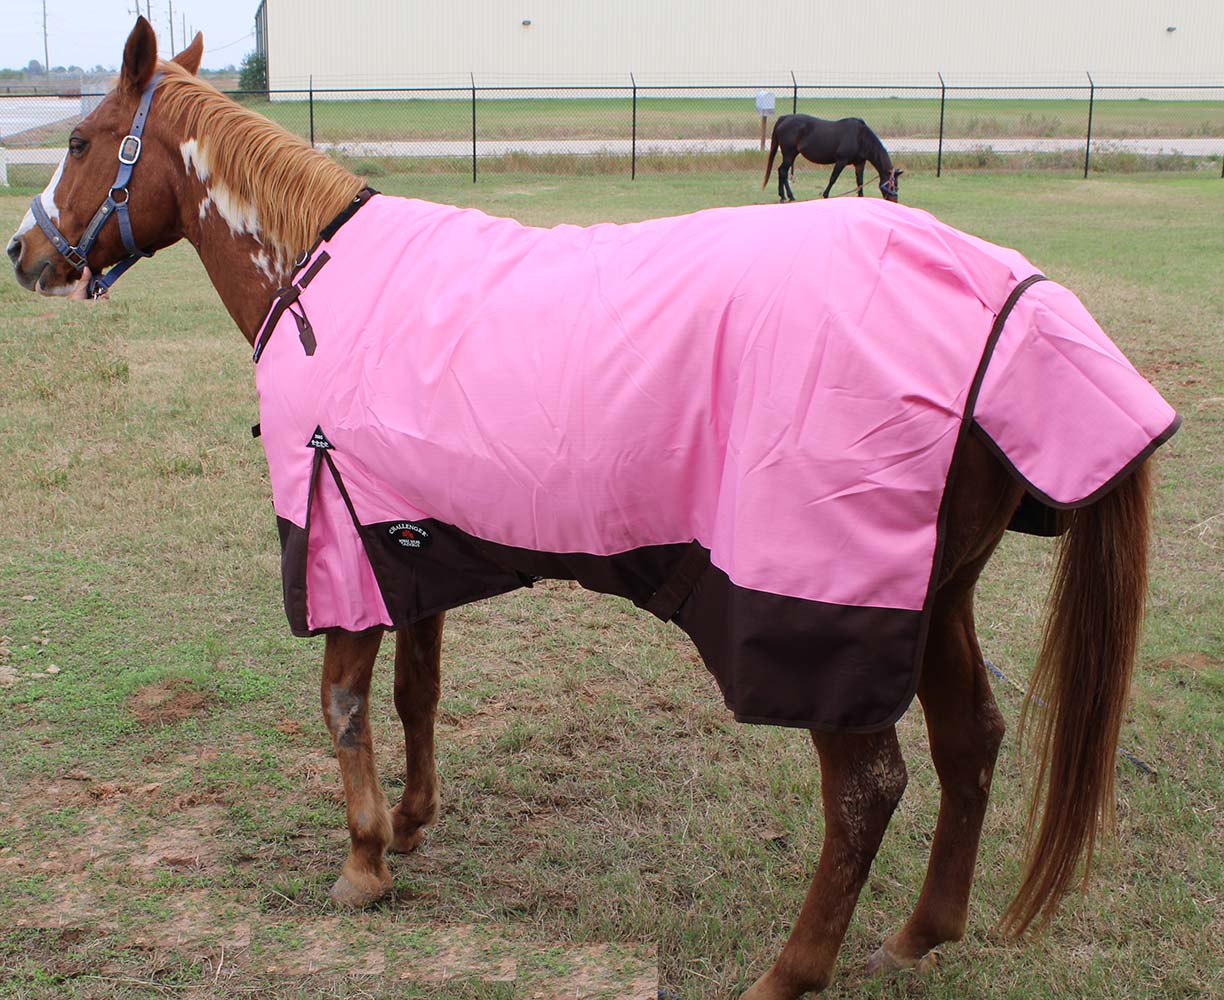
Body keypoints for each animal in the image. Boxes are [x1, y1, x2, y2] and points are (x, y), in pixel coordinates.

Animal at [764, 114, 902, 203]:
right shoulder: (841, 161)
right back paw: (788, 196)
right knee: (782, 171)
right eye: (892, 185)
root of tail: (784, 118)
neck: (860, 137)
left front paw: (861, 198)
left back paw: (784, 196)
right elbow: (833, 179)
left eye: (896, 185)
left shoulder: (859, 164)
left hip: (792, 154)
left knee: (782, 171)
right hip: (789, 154)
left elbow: (860, 182)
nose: (895, 201)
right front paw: (825, 195)